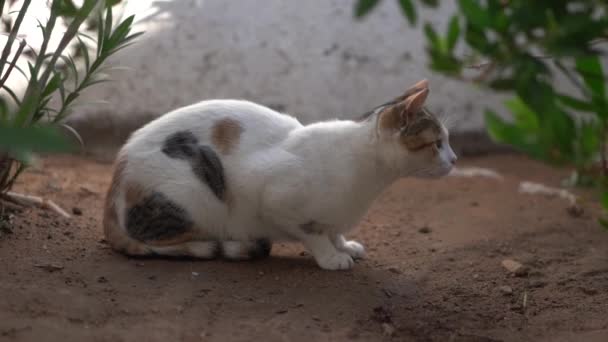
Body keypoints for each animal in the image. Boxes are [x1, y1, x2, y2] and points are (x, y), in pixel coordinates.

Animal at [104, 80, 456, 270]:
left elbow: (333, 229)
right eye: (437, 143)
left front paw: (344, 246)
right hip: (194, 192)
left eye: (447, 141)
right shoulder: (273, 198)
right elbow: (313, 234)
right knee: (155, 242)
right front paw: (332, 257)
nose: (454, 160)